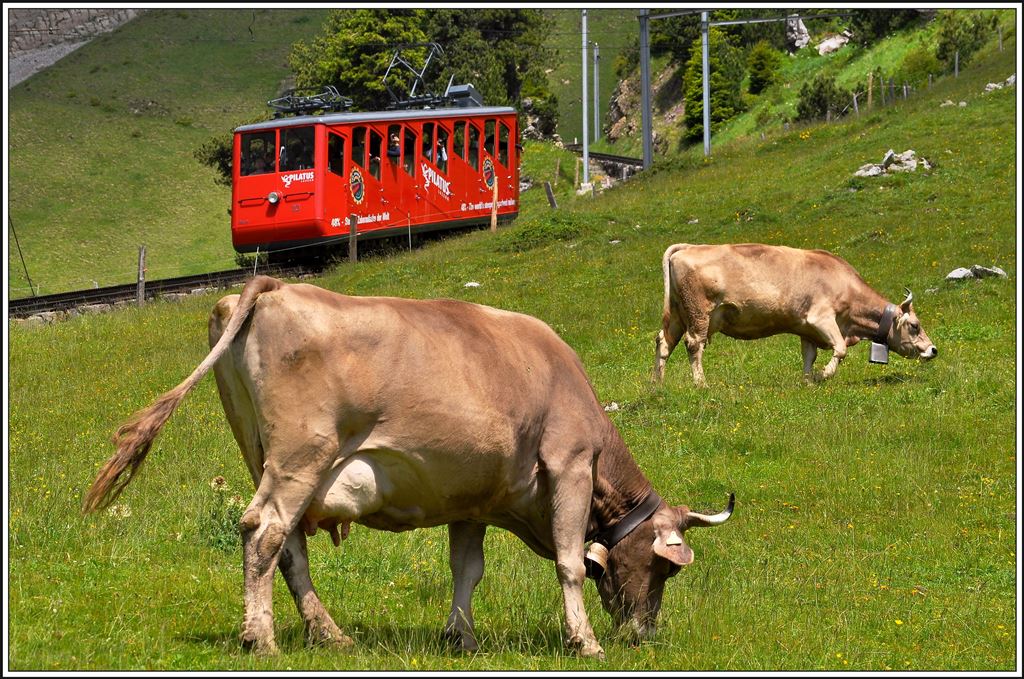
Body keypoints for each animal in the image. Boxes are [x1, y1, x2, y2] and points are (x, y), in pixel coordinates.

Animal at [83, 274, 733, 659]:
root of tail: (274, 287)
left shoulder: (475, 498)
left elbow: (467, 570)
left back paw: (328, 634)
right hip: (300, 455)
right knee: (263, 531)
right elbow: (572, 563)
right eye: (664, 567)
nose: (643, 635)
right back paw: (260, 637)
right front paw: (586, 642)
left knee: (288, 547)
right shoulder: (569, 462)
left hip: (262, 454)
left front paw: (460, 637)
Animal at [655, 242, 937, 387]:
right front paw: (822, 375)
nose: (933, 350)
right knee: (694, 344)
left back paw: (657, 385)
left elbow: (809, 356)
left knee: (664, 342)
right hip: (699, 313)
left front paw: (808, 381)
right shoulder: (821, 318)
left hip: (680, 314)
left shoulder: (807, 329)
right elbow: (840, 349)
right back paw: (700, 384)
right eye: (914, 325)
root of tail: (689, 247)